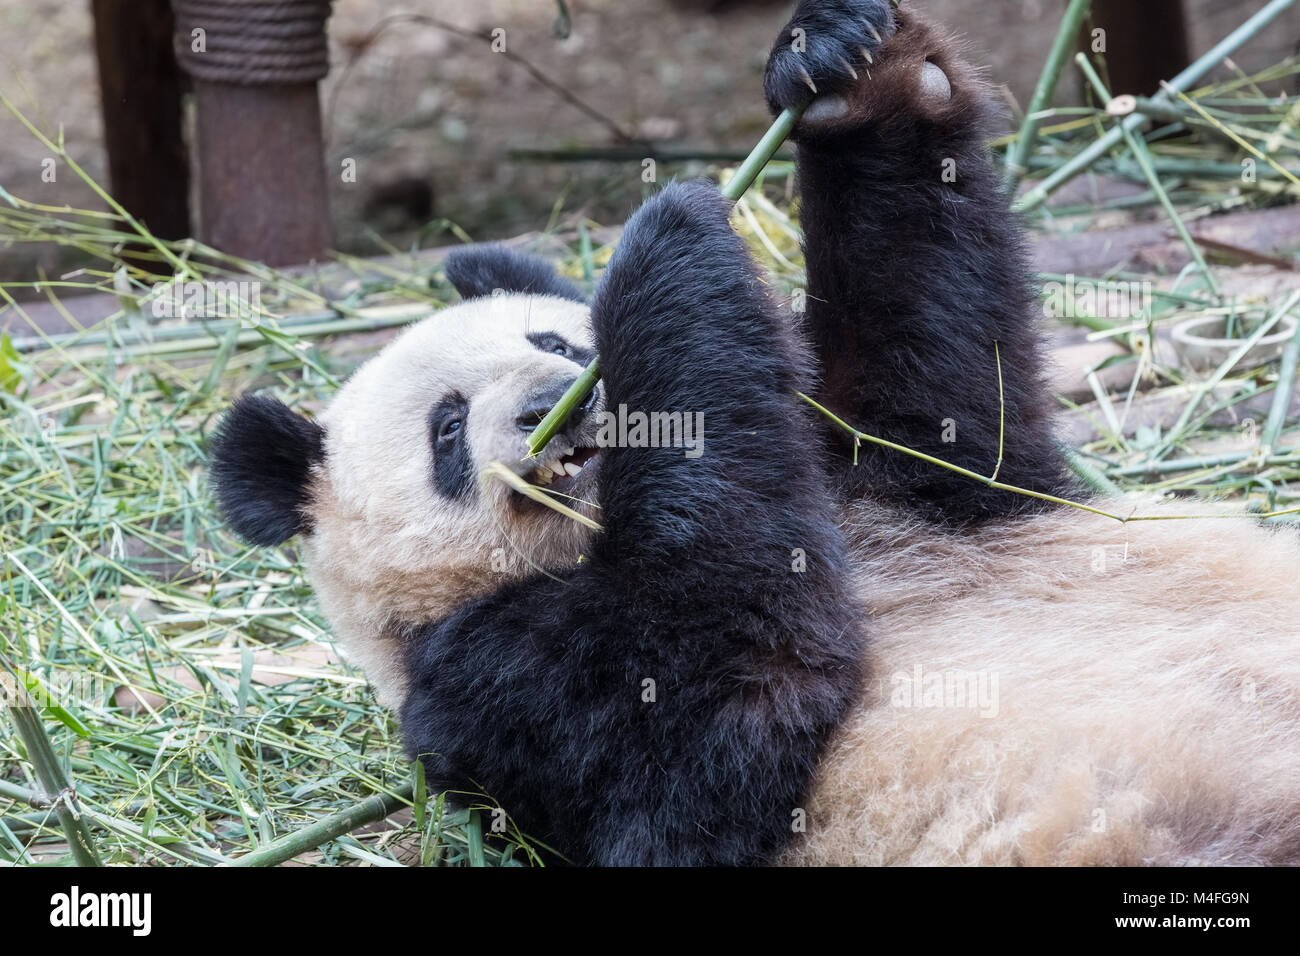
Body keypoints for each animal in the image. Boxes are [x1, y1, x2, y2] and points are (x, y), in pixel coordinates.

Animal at [210, 0, 1300, 868]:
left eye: (552, 339)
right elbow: (725, 696)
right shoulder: (497, 684)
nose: (550, 403)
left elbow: (941, 398)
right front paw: (663, 246)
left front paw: (843, 67)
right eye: (444, 429)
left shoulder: (895, 497)